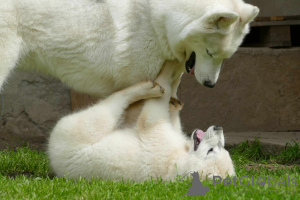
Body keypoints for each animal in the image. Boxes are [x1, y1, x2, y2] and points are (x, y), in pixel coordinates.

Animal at [48, 61, 236, 180]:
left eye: (211, 150)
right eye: (219, 148)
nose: (218, 127)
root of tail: (54, 158)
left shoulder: (162, 150)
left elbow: (149, 120)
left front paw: (168, 72)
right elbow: (173, 125)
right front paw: (174, 100)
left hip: (74, 133)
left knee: (105, 111)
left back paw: (144, 89)